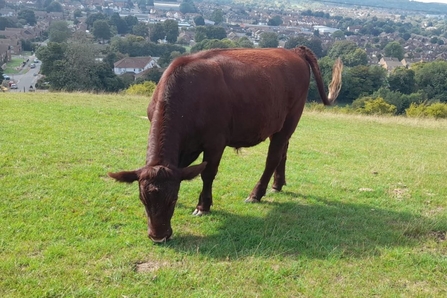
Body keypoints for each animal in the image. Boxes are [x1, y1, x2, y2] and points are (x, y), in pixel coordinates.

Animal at [108, 46, 344, 242]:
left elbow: (207, 174)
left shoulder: (215, 141)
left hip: (291, 119)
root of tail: (294, 51)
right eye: (143, 200)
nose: (158, 237)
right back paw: (278, 184)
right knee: (283, 151)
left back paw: (256, 194)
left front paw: (203, 206)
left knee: (273, 157)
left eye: (173, 200)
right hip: (277, 125)